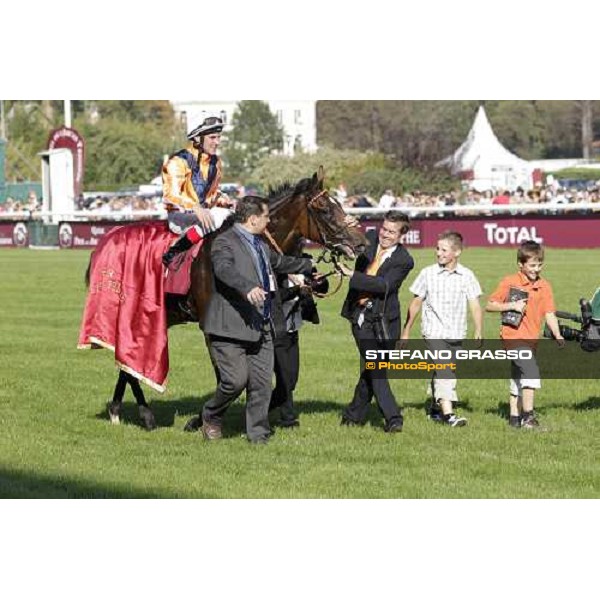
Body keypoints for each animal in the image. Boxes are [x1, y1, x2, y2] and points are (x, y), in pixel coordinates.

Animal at [92, 169, 368, 428]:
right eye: (325, 210)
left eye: (339, 204)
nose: (361, 243)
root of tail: (107, 238)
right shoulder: (212, 327)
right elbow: (227, 375)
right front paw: (202, 419)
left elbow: (272, 382)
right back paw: (140, 413)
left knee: (127, 363)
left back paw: (125, 410)